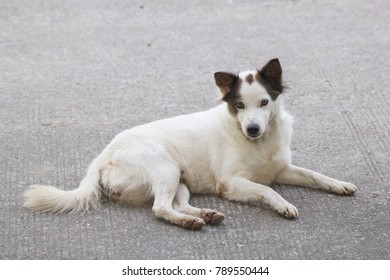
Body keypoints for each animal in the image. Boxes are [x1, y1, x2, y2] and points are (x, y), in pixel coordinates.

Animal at [22, 58, 356, 229]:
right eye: (239, 105)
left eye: (264, 102)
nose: (252, 129)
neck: (260, 141)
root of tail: (103, 156)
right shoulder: (230, 182)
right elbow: (267, 190)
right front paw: (283, 204)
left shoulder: (281, 169)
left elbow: (314, 175)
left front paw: (338, 184)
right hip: (165, 168)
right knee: (160, 208)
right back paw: (189, 222)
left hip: (181, 178)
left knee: (177, 203)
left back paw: (204, 215)